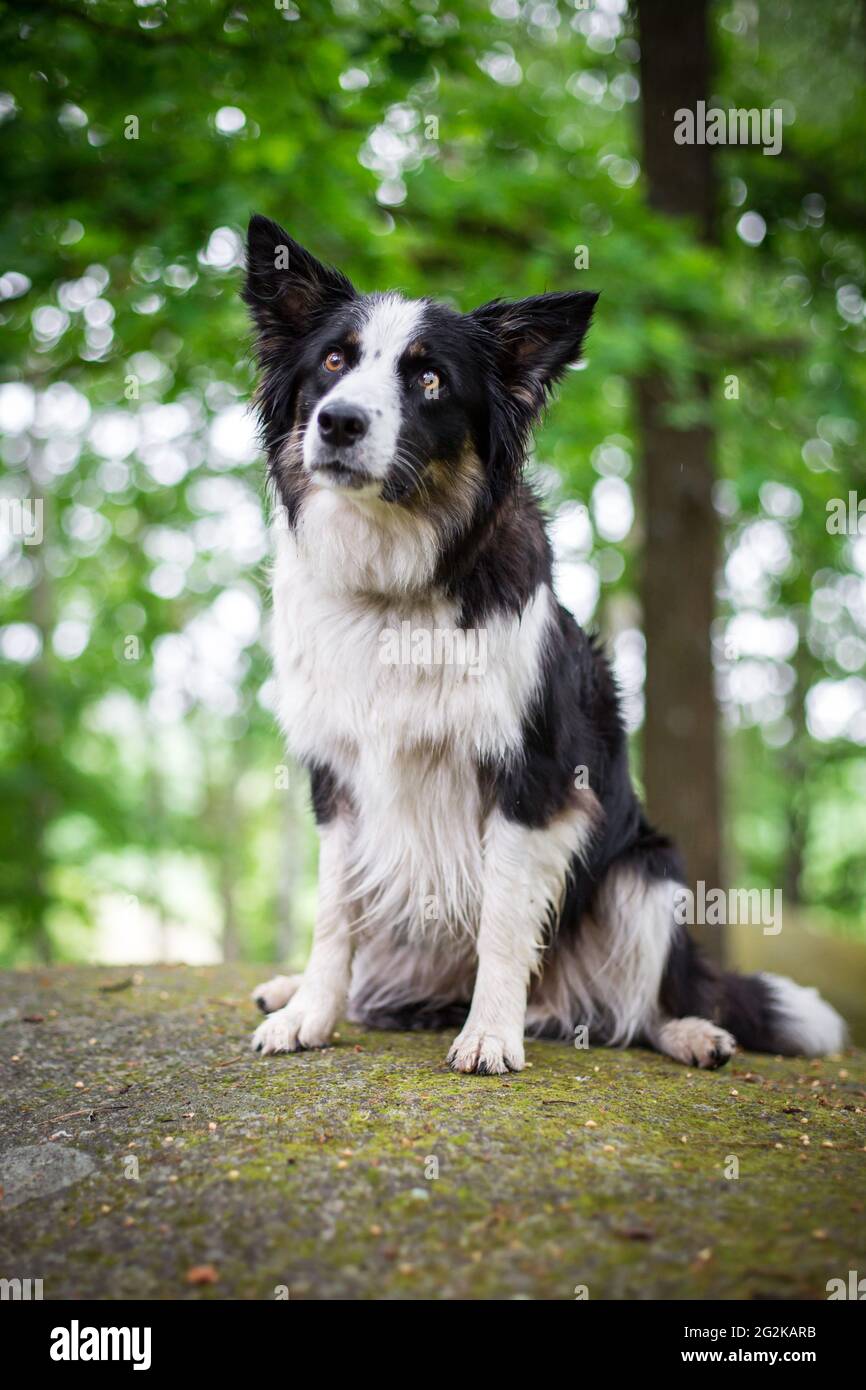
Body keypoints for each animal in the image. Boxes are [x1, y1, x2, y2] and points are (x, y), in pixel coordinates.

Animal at [244, 211, 845, 1067]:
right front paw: (309, 1014)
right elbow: (333, 914)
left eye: (430, 381)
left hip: (646, 872)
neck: (395, 579)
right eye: (334, 361)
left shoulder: (537, 780)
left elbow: (503, 921)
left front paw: (490, 1034)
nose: (339, 422)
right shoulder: (338, 778)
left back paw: (692, 1030)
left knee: (648, 1000)